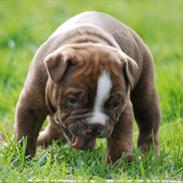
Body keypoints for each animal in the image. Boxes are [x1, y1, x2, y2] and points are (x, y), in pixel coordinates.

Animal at [13, 11, 160, 163]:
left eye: (116, 105)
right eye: (72, 100)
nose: (95, 125)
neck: (87, 42)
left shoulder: (124, 110)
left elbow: (120, 139)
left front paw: (118, 162)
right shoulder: (30, 106)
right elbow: (25, 134)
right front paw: (23, 159)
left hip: (145, 94)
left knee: (149, 126)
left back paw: (149, 154)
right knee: (55, 127)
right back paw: (42, 141)